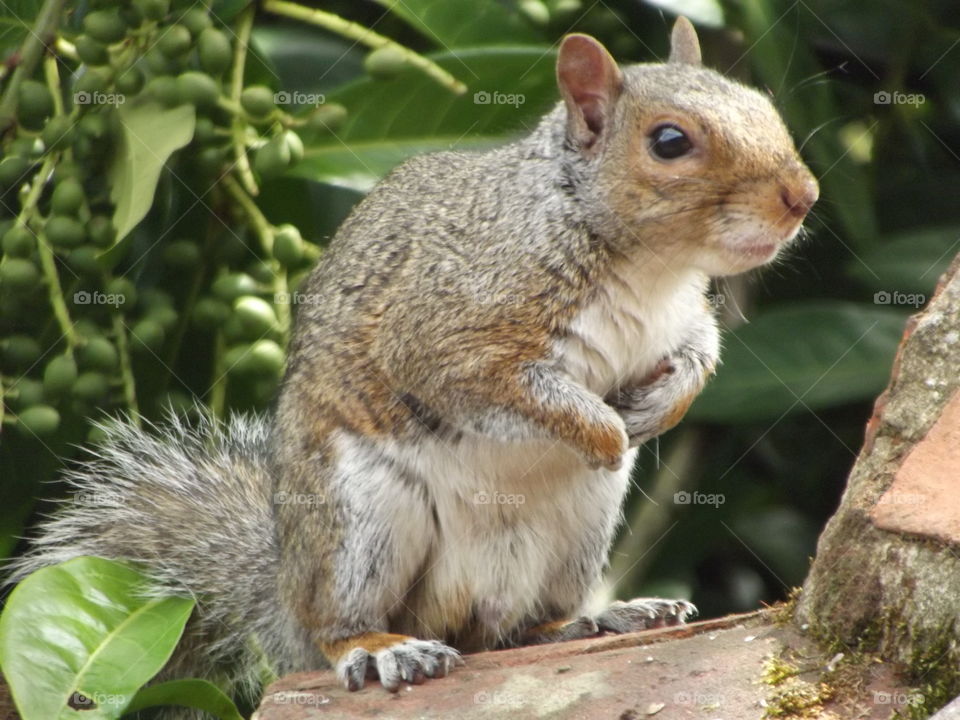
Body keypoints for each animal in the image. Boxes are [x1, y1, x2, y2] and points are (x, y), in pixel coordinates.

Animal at [7, 16, 816, 716]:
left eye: (764, 105)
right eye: (669, 141)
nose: (803, 196)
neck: (648, 267)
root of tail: (286, 594)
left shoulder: (684, 317)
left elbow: (700, 354)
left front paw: (662, 406)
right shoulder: (448, 337)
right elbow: (511, 388)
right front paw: (607, 432)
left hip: (577, 534)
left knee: (513, 632)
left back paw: (605, 618)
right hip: (360, 518)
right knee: (339, 628)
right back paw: (382, 647)